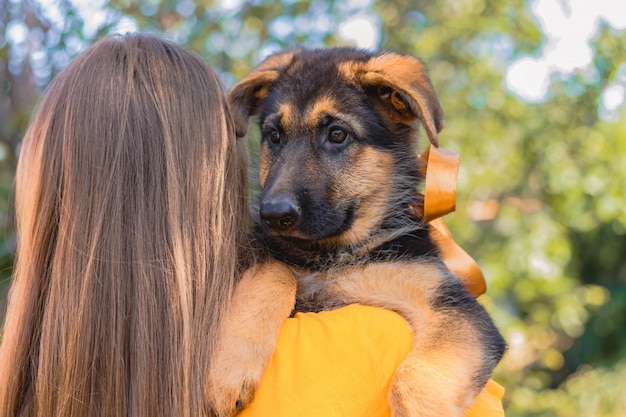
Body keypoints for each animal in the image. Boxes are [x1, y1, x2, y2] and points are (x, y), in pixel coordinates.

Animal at [207, 48, 504, 416]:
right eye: (275, 136)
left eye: (337, 135)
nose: (272, 215)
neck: (333, 257)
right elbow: (274, 269)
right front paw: (229, 369)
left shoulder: (453, 308)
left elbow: (416, 381)